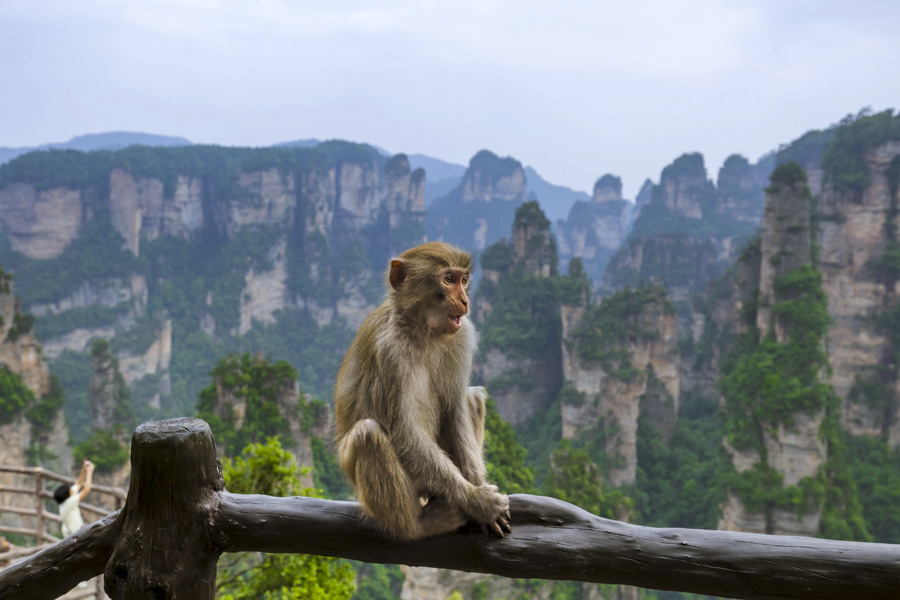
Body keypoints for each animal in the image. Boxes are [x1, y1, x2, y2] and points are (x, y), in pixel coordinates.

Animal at [334, 241, 511, 541]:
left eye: (464, 279)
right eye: (448, 279)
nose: (465, 300)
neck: (424, 329)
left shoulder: (462, 336)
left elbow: (455, 408)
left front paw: (478, 489)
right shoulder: (390, 350)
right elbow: (404, 431)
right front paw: (479, 502)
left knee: (471, 397)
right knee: (368, 434)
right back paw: (418, 525)